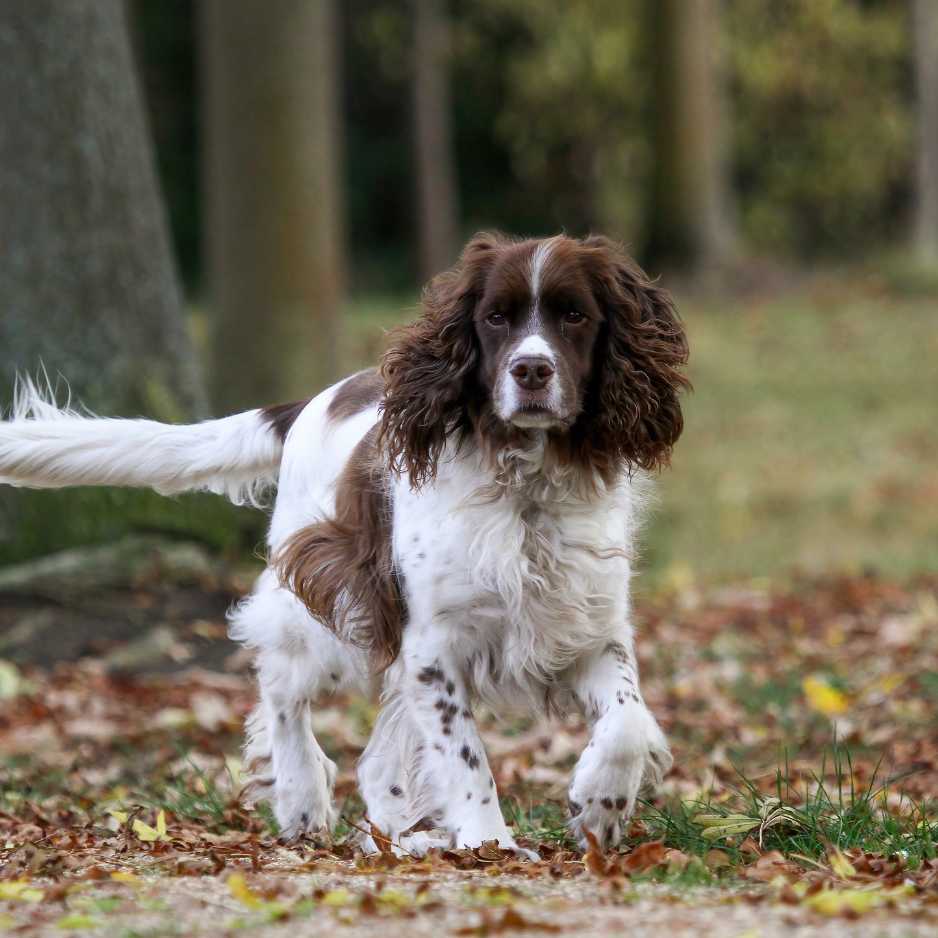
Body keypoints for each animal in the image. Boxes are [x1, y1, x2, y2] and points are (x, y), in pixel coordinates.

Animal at [0, 232, 688, 856]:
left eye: (574, 314)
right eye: (496, 317)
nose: (531, 370)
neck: (526, 491)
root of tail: (311, 402)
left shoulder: (586, 630)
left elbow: (627, 721)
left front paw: (599, 805)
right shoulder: (432, 643)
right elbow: (464, 756)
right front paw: (488, 841)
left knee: (377, 761)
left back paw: (397, 840)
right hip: (333, 607)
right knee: (280, 685)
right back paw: (303, 797)